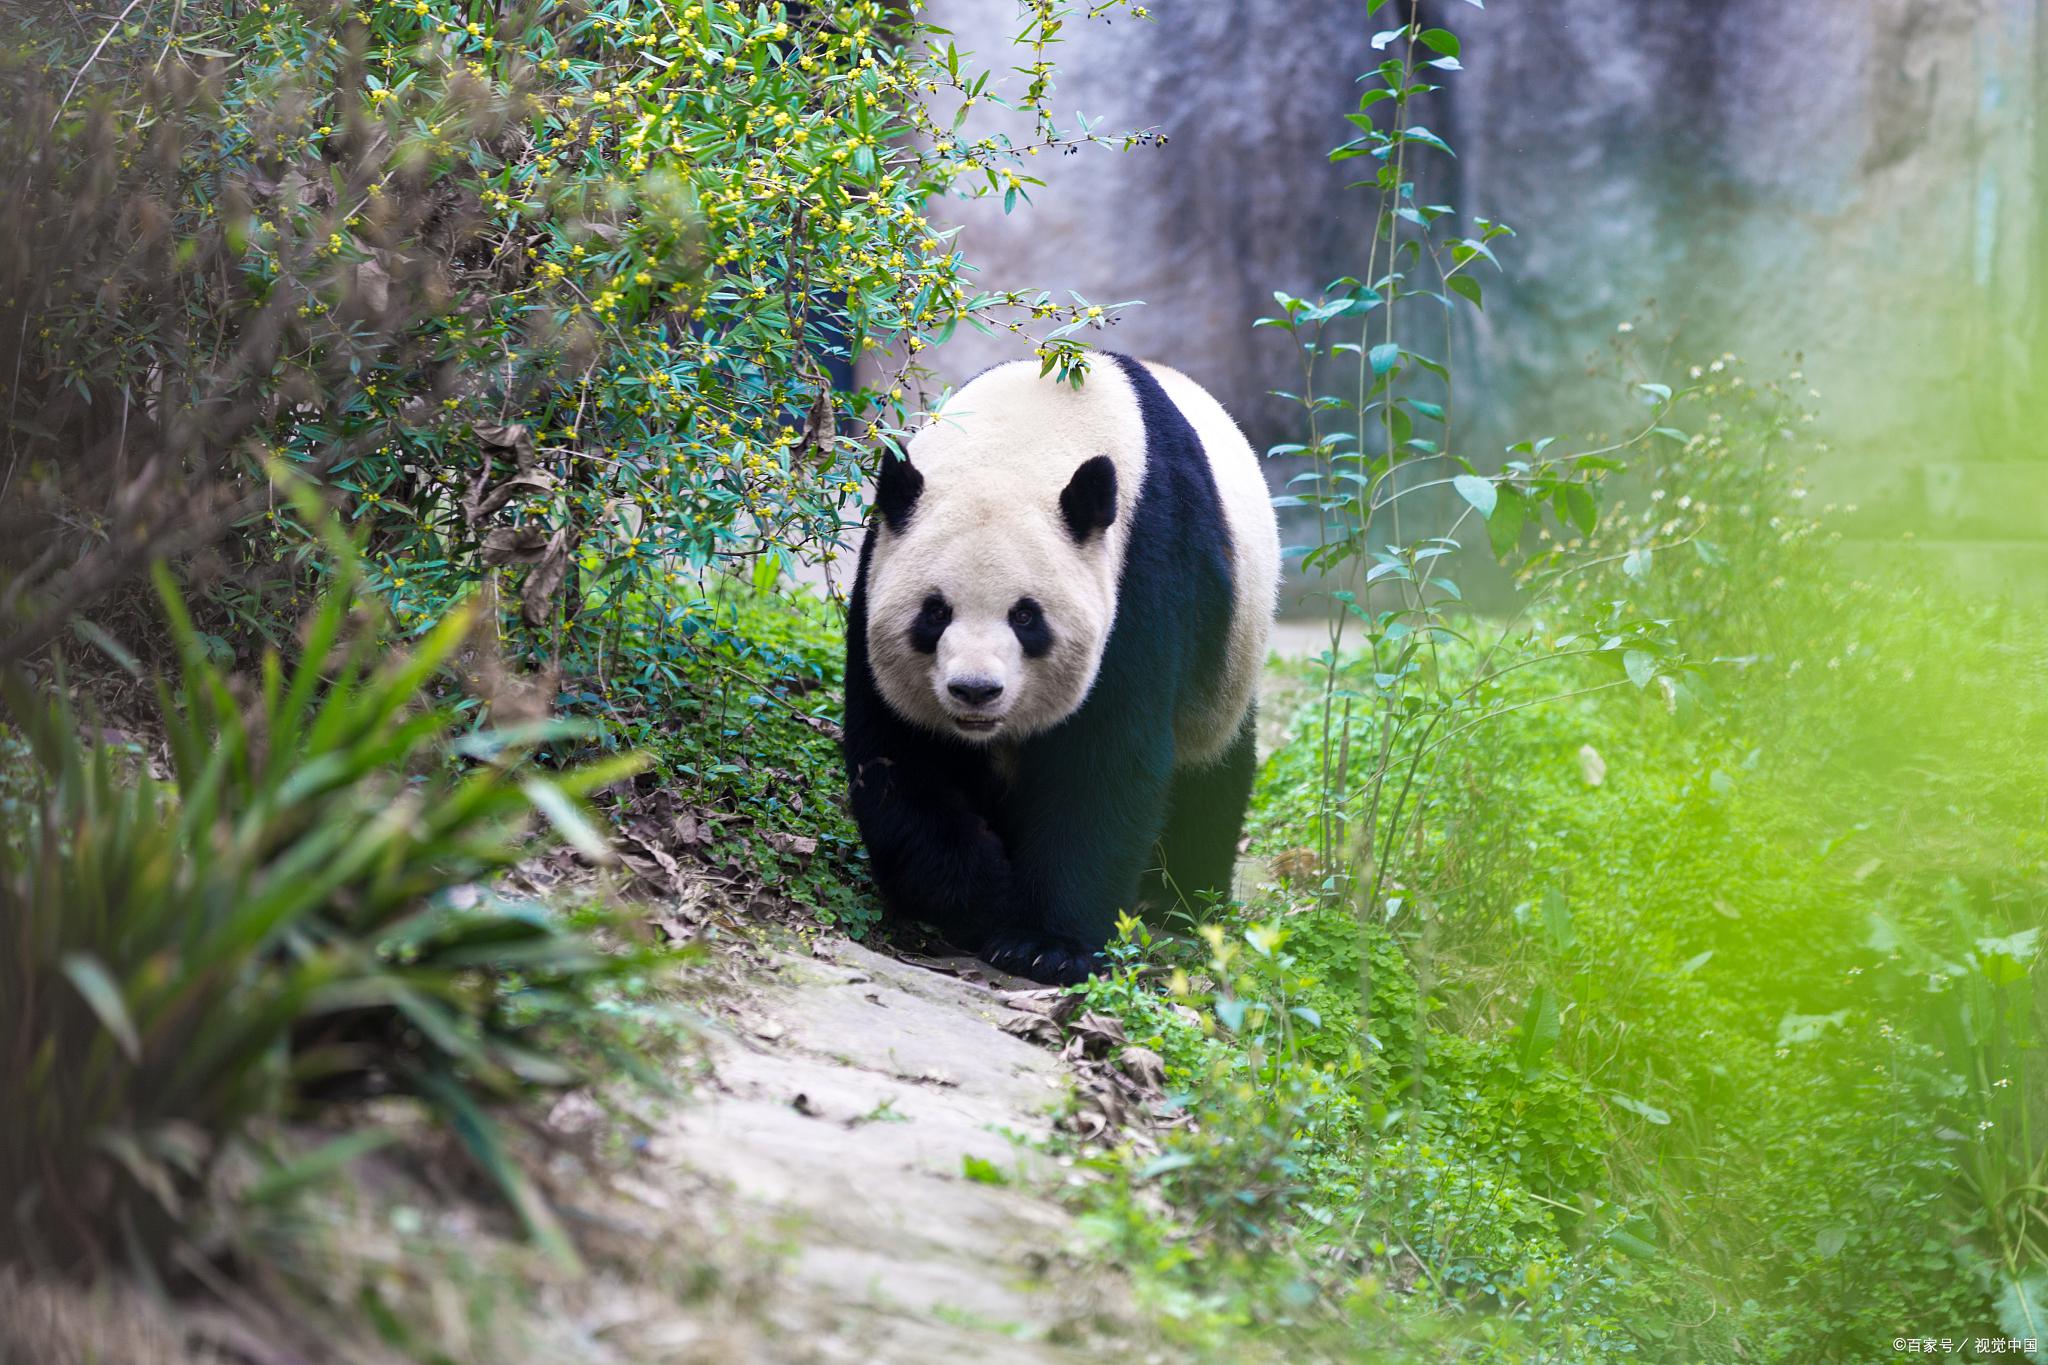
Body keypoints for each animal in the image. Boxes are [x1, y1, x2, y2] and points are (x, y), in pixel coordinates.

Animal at [839, 358, 1269, 986]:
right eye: (935, 613)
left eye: (1026, 617)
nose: (975, 691)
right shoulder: (878, 567)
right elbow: (898, 752)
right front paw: (981, 900)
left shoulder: (1145, 566)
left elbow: (1104, 759)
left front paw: (1045, 945)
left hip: (1227, 662)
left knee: (1212, 771)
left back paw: (1179, 900)